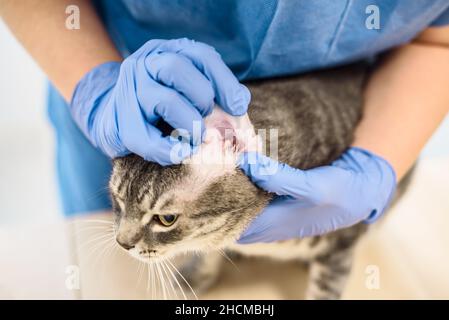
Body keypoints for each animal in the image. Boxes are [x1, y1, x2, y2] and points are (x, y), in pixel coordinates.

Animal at [109, 64, 410, 300]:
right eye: (118, 201)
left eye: (167, 219)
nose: (122, 243)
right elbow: (208, 251)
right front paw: (196, 274)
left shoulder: (343, 242)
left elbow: (325, 289)